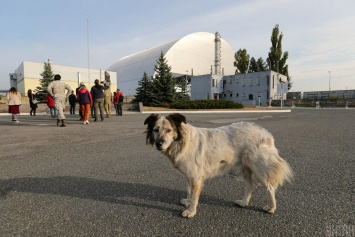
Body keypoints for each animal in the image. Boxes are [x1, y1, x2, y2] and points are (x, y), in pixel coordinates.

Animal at [143, 113, 294, 218]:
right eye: (156, 130)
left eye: (169, 130)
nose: (158, 144)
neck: (182, 142)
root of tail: (266, 133)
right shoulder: (189, 176)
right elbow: (189, 191)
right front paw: (188, 201)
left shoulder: (196, 177)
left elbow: (195, 196)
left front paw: (191, 211)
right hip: (245, 168)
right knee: (250, 186)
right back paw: (244, 203)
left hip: (259, 168)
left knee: (270, 187)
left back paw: (271, 208)